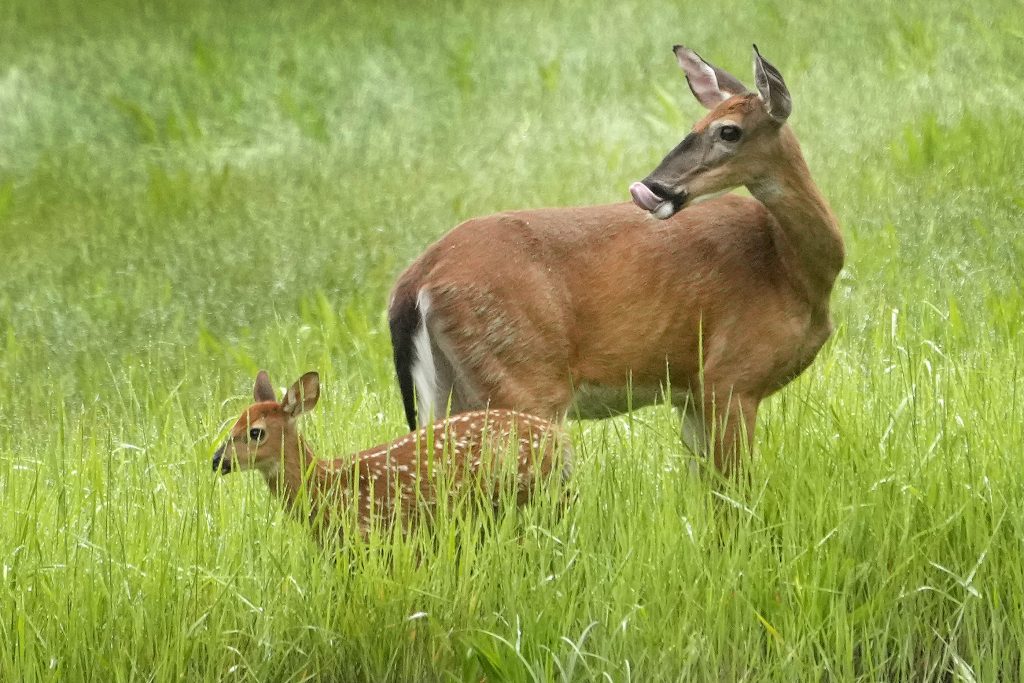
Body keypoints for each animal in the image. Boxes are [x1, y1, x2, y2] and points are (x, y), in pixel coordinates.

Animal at [388, 45, 844, 476]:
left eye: (728, 130)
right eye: (694, 128)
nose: (652, 187)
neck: (792, 270)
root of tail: (415, 280)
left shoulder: (692, 395)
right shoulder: (729, 378)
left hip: (449, 392)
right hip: (523, 381)